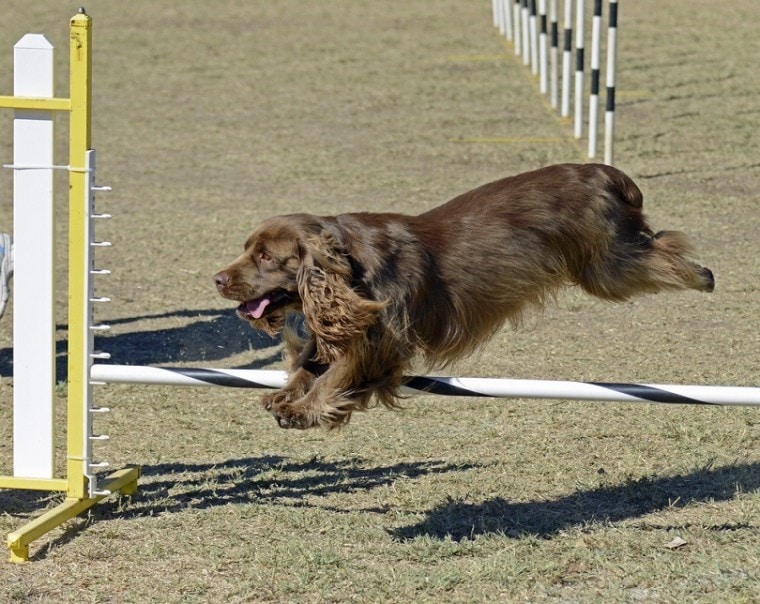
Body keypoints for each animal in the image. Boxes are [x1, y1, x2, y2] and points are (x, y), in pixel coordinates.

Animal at [215, 164, 720, 430]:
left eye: (265, 256)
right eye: (247, 248)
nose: (218, 279)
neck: (350, 265)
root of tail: (605, 172)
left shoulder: (384, 341)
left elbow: (339, 375)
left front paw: (303, 410)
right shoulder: (346, 322)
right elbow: (310, 362)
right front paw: (284, 397)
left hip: (609, 267)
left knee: (666, 250)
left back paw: (704, 276)